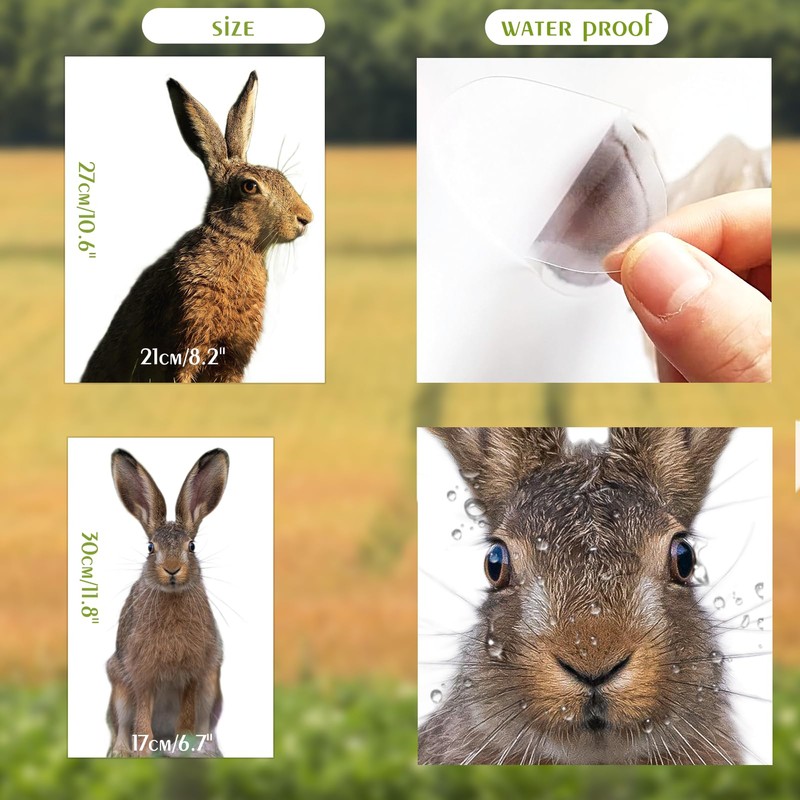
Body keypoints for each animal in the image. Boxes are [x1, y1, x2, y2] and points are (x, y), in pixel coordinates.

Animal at [106, 447, 229, 757]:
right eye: (151, 548)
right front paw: (142, 753)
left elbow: (186, 717)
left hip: (212, 689)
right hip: (118, 686)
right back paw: (121, 752)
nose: (172, 569)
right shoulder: (141, 675)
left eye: (191, 547)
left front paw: (183, 746)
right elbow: (141, 720)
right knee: (120, 725)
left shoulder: (194, 675)